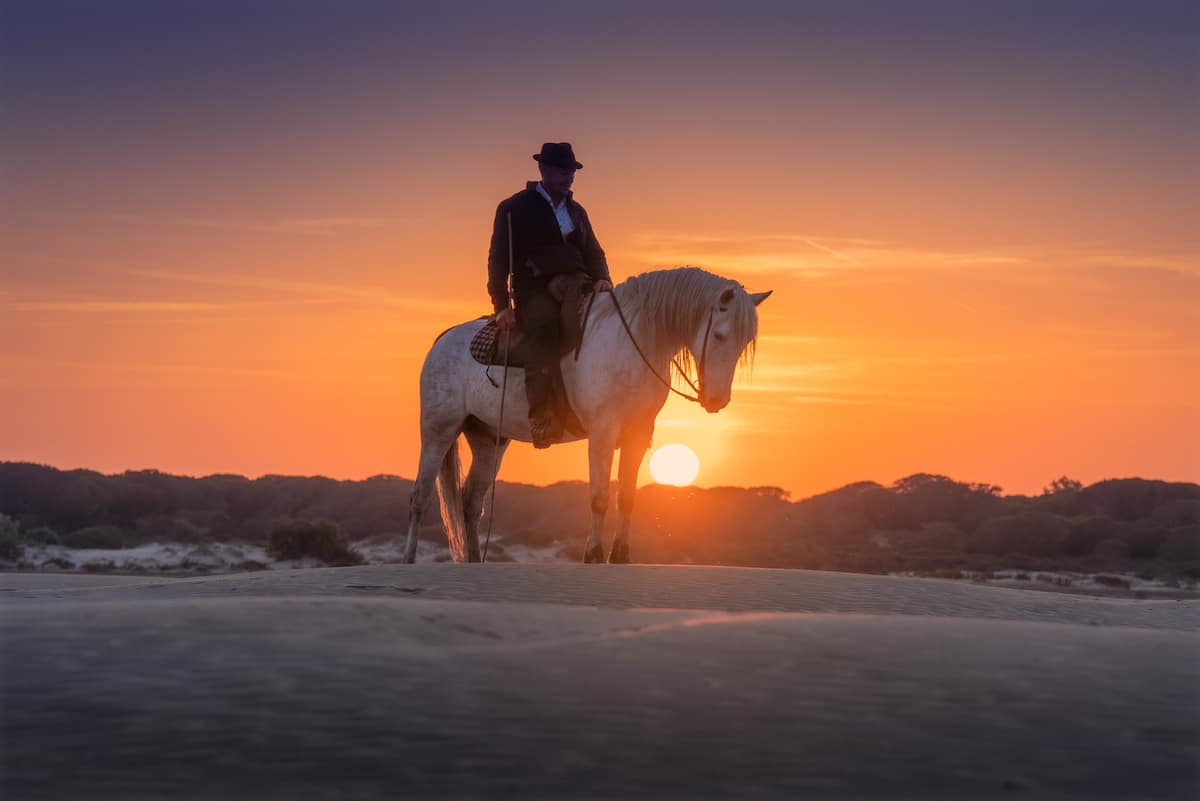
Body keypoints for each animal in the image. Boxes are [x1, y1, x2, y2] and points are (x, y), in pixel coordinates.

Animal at [405, 267, 768, 563]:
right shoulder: (602, 433)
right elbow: (599, 497)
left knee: (471, 500)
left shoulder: (637, 435)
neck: (633, 342)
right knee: (420, 495)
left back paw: (473, 561)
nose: (717, 400)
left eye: (744, 342)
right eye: (719, 335)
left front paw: (620, 556)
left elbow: (627, 497)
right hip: (438, 430)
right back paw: (408, 559)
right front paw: (593, 554)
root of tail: (442, 340)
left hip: (489, 440)